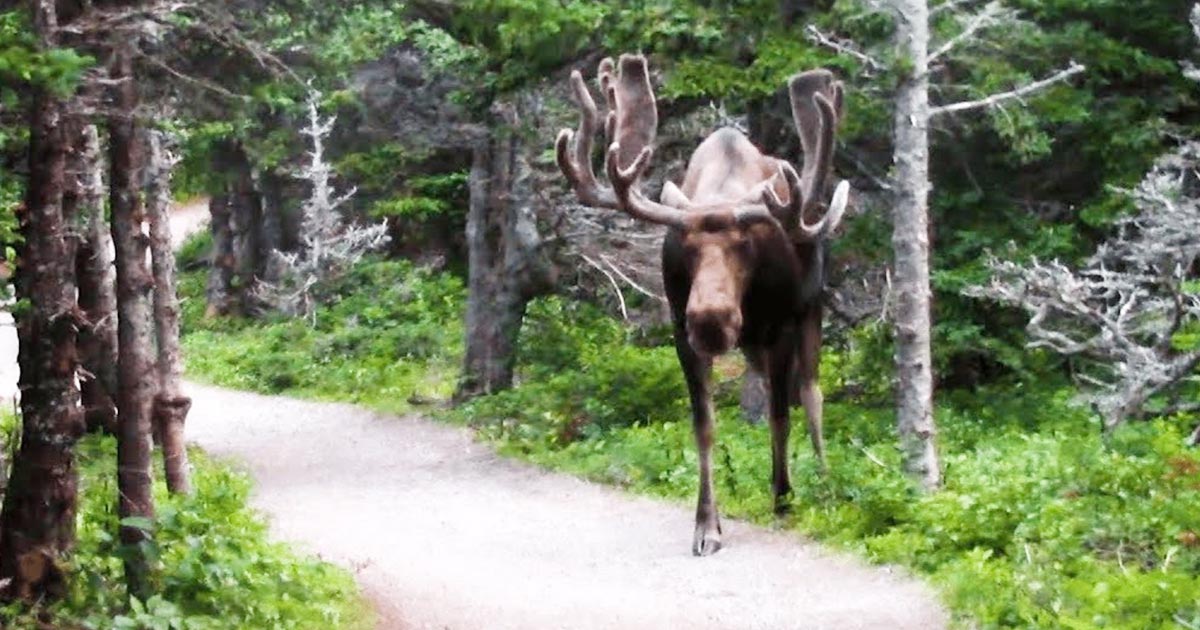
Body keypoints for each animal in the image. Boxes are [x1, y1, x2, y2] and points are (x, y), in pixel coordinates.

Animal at [556, 55, 849, 554]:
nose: (711, 320)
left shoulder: (781, 326)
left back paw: (825, 482)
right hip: (751, 342)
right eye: (684, 248)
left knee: (811, 395)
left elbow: (780, 416)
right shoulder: (681, 332)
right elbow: (705, 424)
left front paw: (784, 497)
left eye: (746, 244)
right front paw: (707, 524)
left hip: (809, 310)